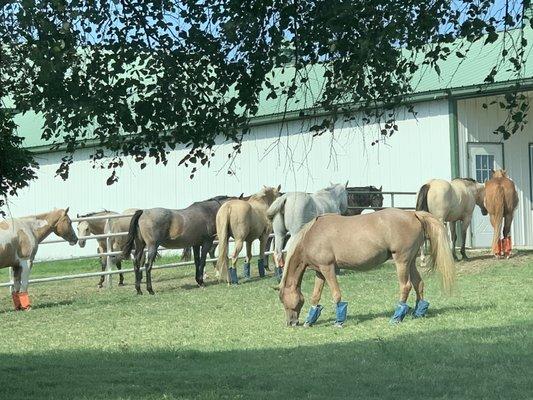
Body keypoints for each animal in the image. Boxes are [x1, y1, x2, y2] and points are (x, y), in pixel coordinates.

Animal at [276, 209, 456, 328]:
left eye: (283, 300)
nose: (291, 322)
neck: (312, 235)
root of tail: (413, 214)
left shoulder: (328, 268)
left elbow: (336, 294)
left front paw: (339, 321)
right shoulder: (320, 272)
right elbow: (315, 296)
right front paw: (310, 320)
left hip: (402, 261)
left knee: (406, 286)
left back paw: (397, 316)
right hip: (411, 261)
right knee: (419, 284)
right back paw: (418, 313)